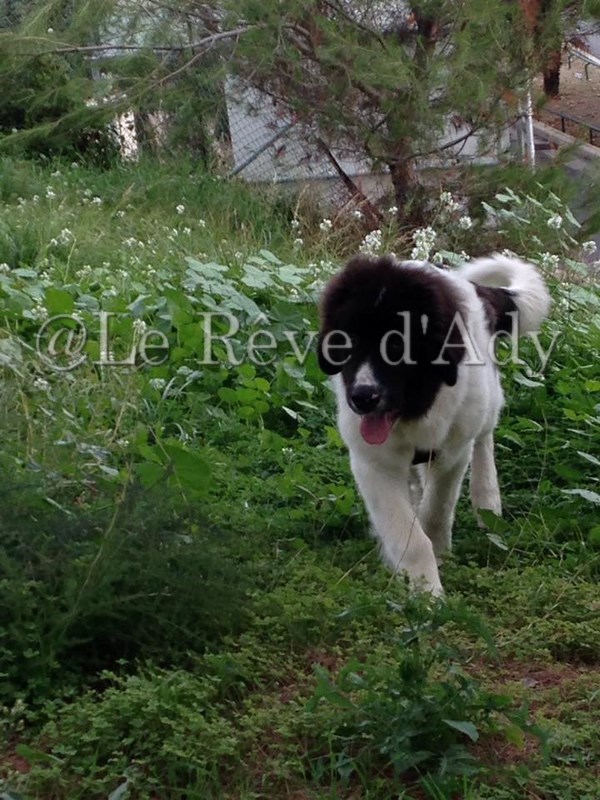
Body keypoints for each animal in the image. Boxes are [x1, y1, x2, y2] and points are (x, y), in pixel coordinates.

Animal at [317, 254, 550, 595]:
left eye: (397, 346)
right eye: (349, 341)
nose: (362, 397)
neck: (415, 409)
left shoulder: (453, 452)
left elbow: (436, 509)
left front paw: (436, 563)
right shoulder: (374, 464)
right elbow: (409, 534)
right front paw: (425, 590)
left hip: (484, 402)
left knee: (484, 438)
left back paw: (487, 501)